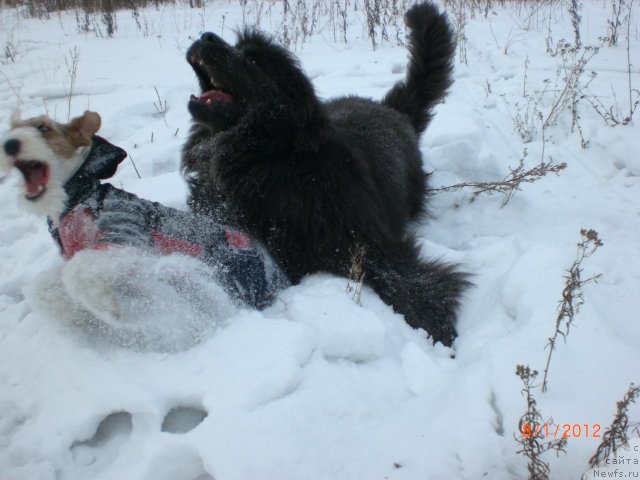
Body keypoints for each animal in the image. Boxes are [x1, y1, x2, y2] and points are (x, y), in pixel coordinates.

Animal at [181, 0, 470, 344]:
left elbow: (404, 281)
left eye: (252, 59)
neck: (266, 162)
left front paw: (438, 327)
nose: (206, 36)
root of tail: (392, 109)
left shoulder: (365, 245)